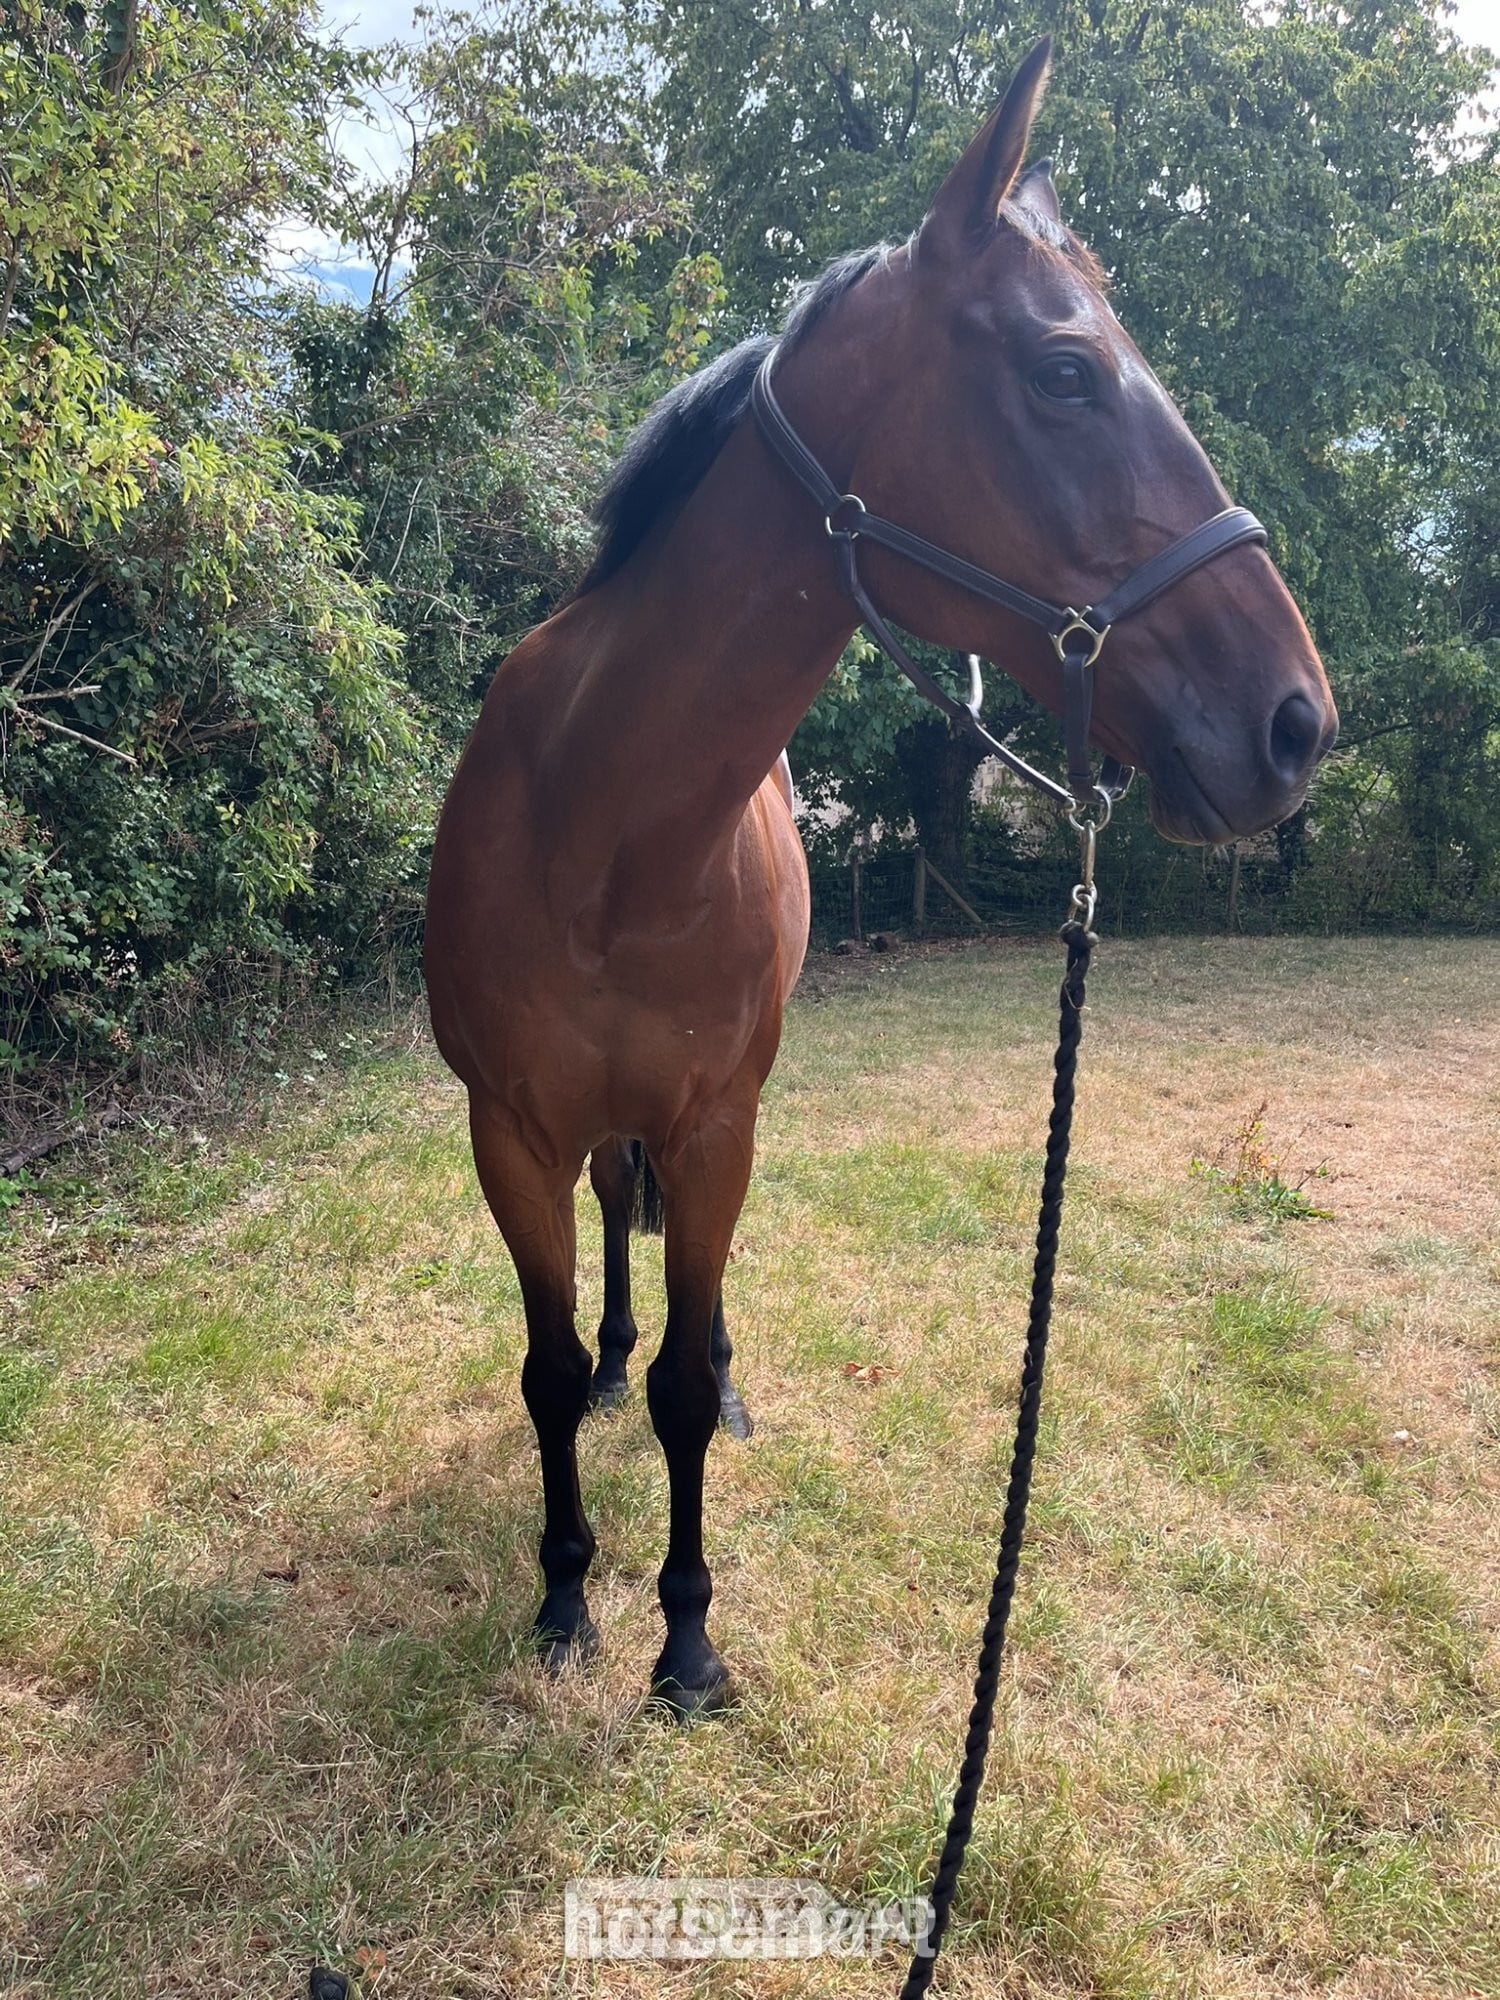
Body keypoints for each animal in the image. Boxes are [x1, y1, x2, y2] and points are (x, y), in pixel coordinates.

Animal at [424, 39, 1338, 1717]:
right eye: (1064, 372)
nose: (1293, 722)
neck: (606, 833)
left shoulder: (717, 1124)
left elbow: (683, 1380)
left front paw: (688, 1634)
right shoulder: (506, 1133)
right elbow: (544, 1367)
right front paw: (566, 1594)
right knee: (612, 1237)